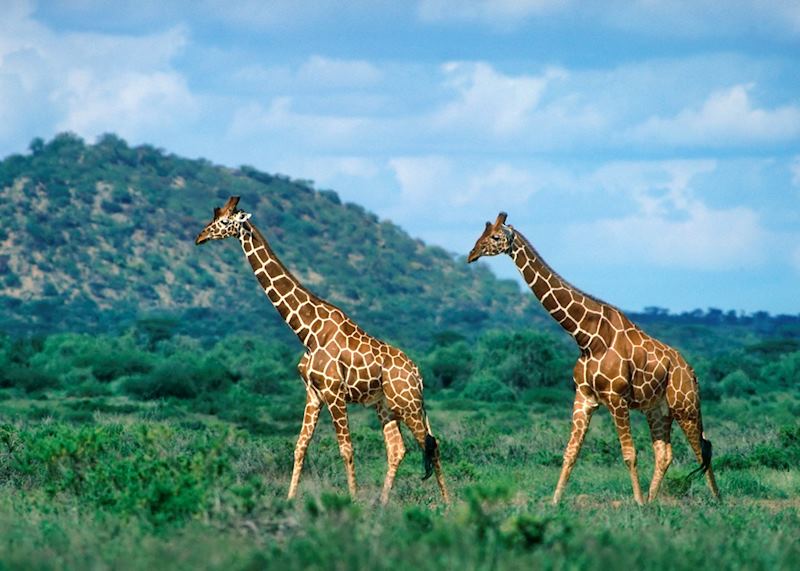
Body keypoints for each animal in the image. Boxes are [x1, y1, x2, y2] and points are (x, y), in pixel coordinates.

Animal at [195, 196, 449, 505]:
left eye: (223, 221)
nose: (199, 237)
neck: (307, 331)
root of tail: (418, 374)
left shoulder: (334, 392)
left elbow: (346, 449)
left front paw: (352, 501)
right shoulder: (313, 393)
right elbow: (300, 446)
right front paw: (289, 500)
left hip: (408, 403)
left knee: (432, 445)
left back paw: (448, 505)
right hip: (387, 406)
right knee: (398, 448)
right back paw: (381, 504)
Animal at [467, 212, 720, 505]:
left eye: (496, 237)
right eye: (481, 234)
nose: (471, 254)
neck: (587, 338)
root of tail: (691, 371)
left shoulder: (616, 398)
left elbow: (629, 454)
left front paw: (636, 503)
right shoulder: (584, 397)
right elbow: (571, 452)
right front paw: (555, 502)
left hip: (685, 406)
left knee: (702, 449)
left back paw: (715, 501)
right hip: (658, 409)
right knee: (665, 453)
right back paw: (653, 500)